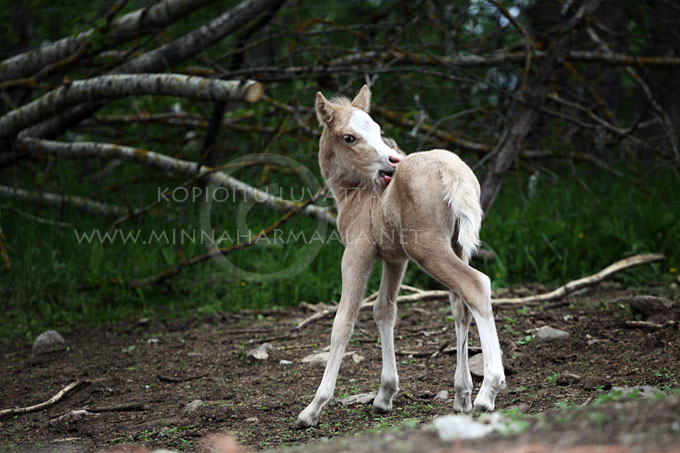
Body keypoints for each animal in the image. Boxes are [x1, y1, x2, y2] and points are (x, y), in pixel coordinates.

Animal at [294, 85, 502, 428]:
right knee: (461, 306)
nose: (392, 160)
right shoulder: (395, 258)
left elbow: (343, 321)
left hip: (428, 247)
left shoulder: (357, 251)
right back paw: (463, 395)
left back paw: (489, 391)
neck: (353, 194)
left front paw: (313, 407)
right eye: (349, 136)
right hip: (456, 244)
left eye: (378, 130)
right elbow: (384, 310)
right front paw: (385, 394)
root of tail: (452, 171)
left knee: (476, 285)